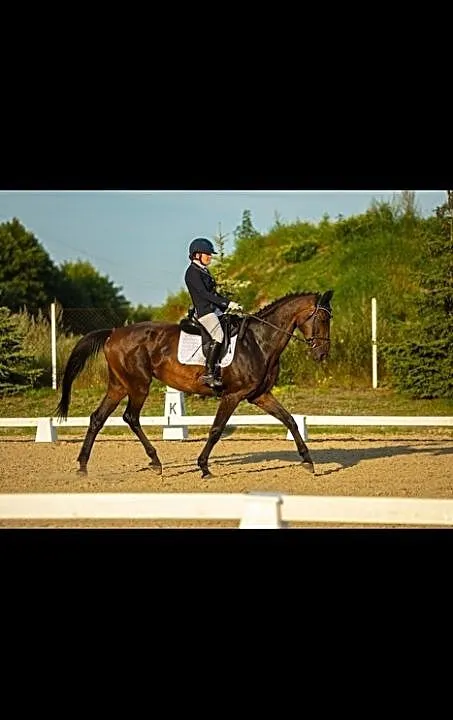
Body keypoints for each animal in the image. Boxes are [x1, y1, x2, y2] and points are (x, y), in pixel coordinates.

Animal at [55, 290, 334, 478]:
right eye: (321, 319)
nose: (322, 354)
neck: (258, 341)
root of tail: (113, 332)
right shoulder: (233, 395)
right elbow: (216, 430)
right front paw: (204, 467)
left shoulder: (259, 395)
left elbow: (290, 420)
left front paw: (308, 461)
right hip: (138, 385)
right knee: (130, 417)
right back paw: (155, 462)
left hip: (119, 385)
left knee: (98, 418)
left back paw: (83, 466)